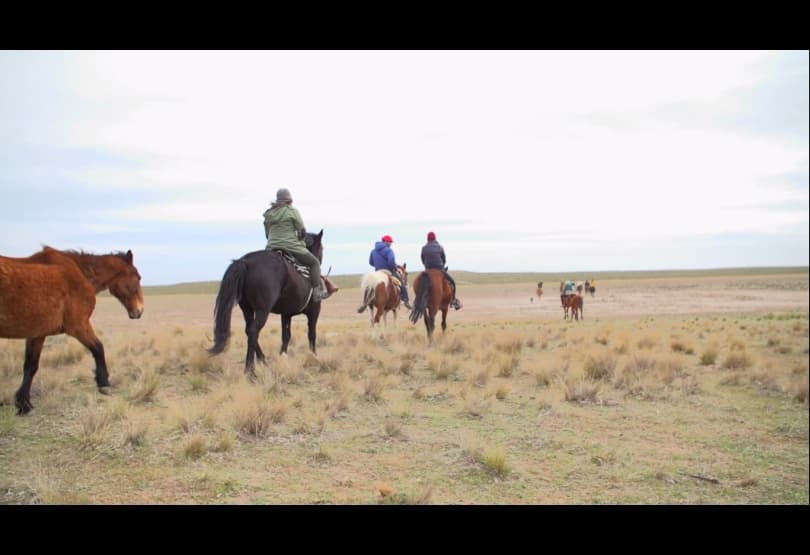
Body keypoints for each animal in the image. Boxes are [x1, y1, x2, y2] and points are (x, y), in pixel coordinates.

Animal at [0, 247, 144, 412]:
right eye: (138, 277)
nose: (140, 311)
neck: (80, 273)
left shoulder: (37, 333)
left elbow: (30, 366)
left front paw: (24, 403)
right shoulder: (78, 325)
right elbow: (98, 348)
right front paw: (104, 385)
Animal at [211, 229, 332, 378]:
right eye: (322, 248)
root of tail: (245, 261)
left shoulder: (286, 314)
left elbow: (286, 336)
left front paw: (282, 357)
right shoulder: (314, 311)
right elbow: (312, 334)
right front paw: (314, 356)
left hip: (247, 309)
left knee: (248, 330)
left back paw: (263, 360)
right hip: (263, 310)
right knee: (253, 331)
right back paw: (250, 370)